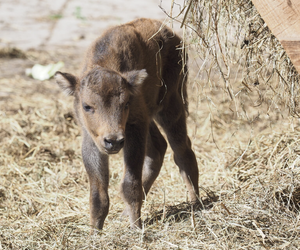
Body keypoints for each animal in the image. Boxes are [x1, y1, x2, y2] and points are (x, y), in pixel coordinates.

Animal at [54, 18, 199, 230]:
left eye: (125, 104)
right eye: (87, 106)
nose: (113, 141)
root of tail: (173, 36)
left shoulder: (134, 129)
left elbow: (130, 183)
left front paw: (136, 227)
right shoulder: (92, 138)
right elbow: (98, 194)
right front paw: (95, 231)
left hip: (171, 106)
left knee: (182, 150)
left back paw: (196, 203)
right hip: (151, 117)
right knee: (158, 149)